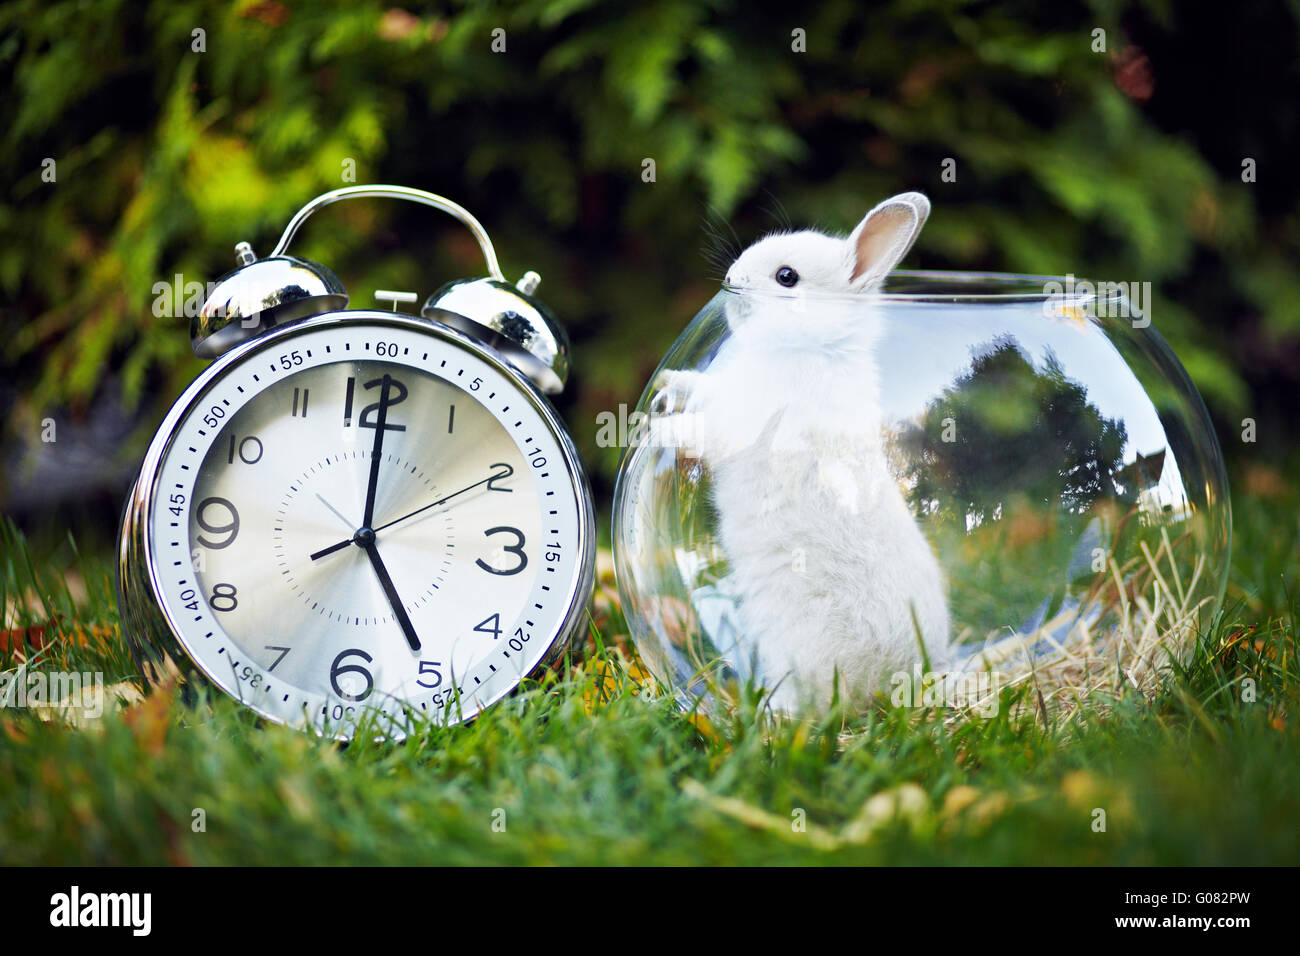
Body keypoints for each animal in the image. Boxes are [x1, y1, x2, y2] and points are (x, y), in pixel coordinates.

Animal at [655, 192, 951, 712]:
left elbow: (704, 431)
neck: (812, 347)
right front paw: (669, 384)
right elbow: (702, 388)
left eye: (787, 277)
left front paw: (657, 430)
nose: (731, 279)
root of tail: (898, 678)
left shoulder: (740, 425)